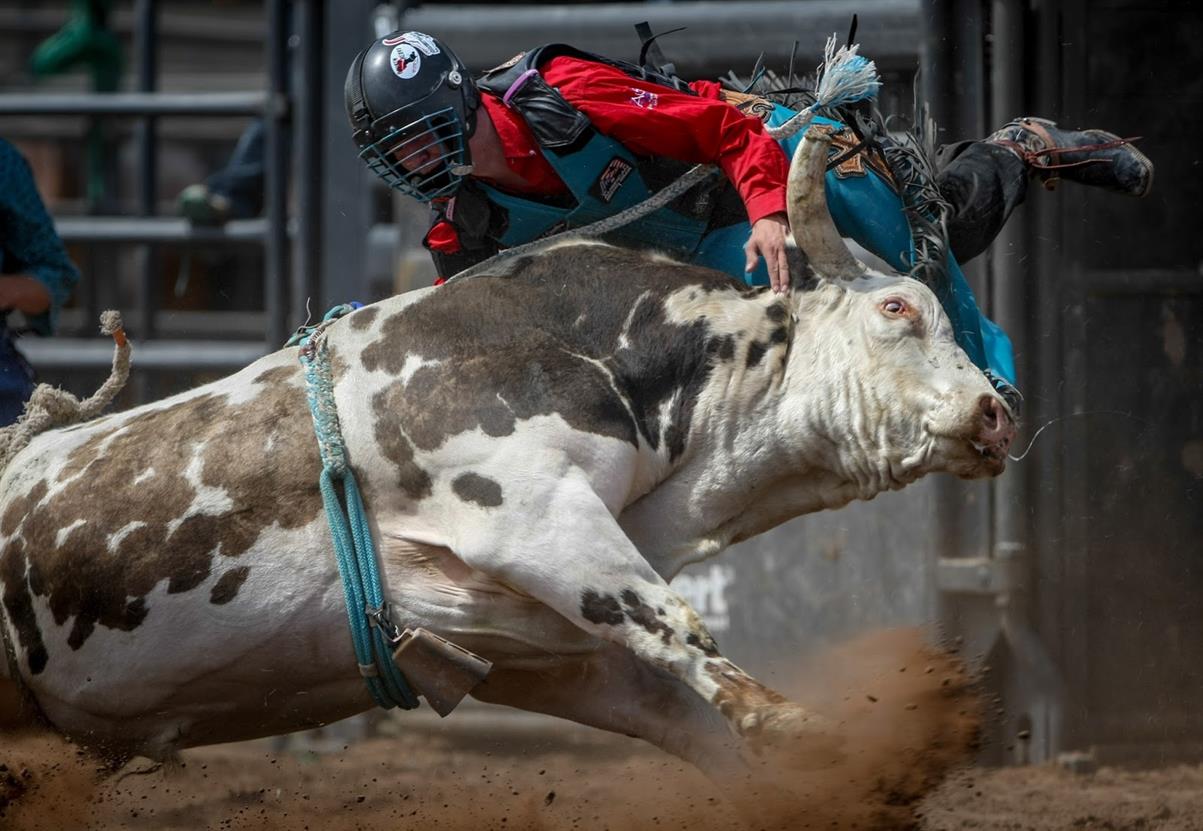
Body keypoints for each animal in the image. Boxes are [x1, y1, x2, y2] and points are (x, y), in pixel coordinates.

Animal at [0, 133, 1015, 803]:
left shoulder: (535, 650)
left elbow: (673, 704)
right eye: (895, 308)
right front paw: (818, 738)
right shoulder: (536, 521)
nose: (996, 410)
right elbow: (676, 625)